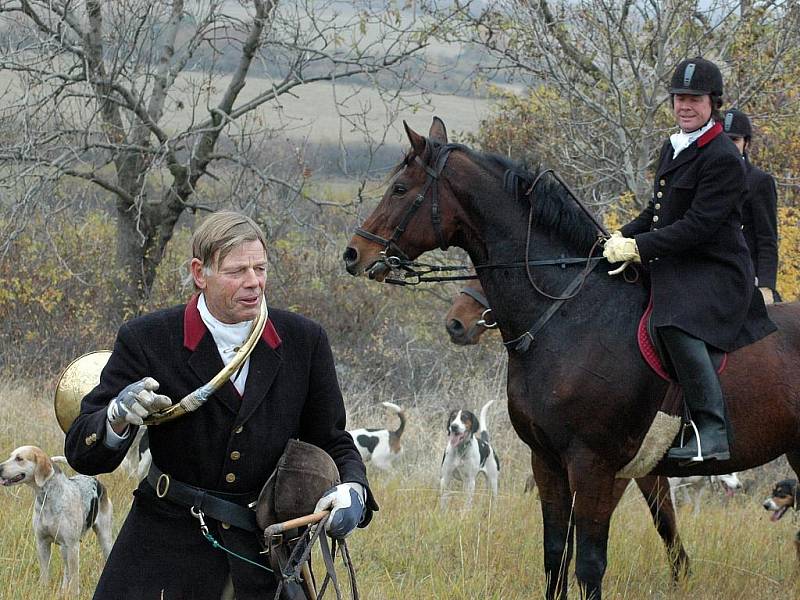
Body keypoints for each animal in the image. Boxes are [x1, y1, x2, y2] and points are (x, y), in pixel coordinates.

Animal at [344, 117, 800, 600]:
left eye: (400, 188)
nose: (354, 254)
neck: (569, 315)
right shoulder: (548, 462)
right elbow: (556, 556)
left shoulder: (594, 465)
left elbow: (590, 563)